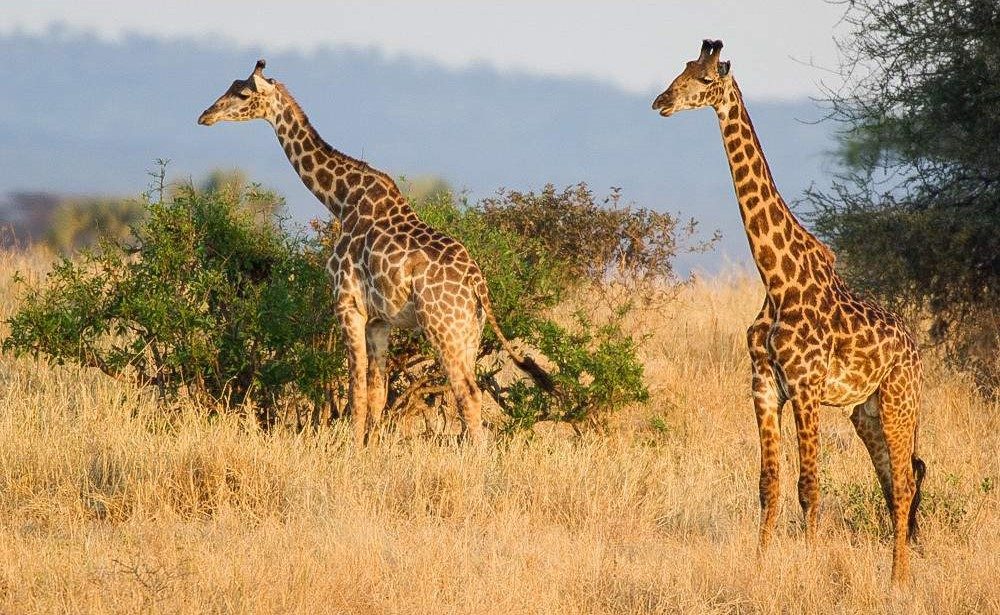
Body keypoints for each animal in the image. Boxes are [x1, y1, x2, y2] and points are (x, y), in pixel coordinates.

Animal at [197, 60, 554, 444]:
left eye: (242, 93)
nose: (205, 115)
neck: (341, 200)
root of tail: (478, 284)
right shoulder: (380, 320)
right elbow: (377, 394)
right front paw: (371, 447)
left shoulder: (348, 304)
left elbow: (355, 390)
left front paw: (352, 449)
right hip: (470, 333)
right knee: (470, 390)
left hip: (442, 329)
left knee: (467, 394)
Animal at [652, 40, 926, 585]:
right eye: (683, 69)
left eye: (707, 79)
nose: (662, 102)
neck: (775, 279)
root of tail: (915, 351)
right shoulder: (762, 385)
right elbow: (769, 482)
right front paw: (759, 566)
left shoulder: (805, 386)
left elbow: (809, 484)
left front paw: (813, 564)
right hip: (865, 412)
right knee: (892, 484)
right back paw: (896, 571)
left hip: (898, 402)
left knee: (906, 483)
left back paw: (898, 581)